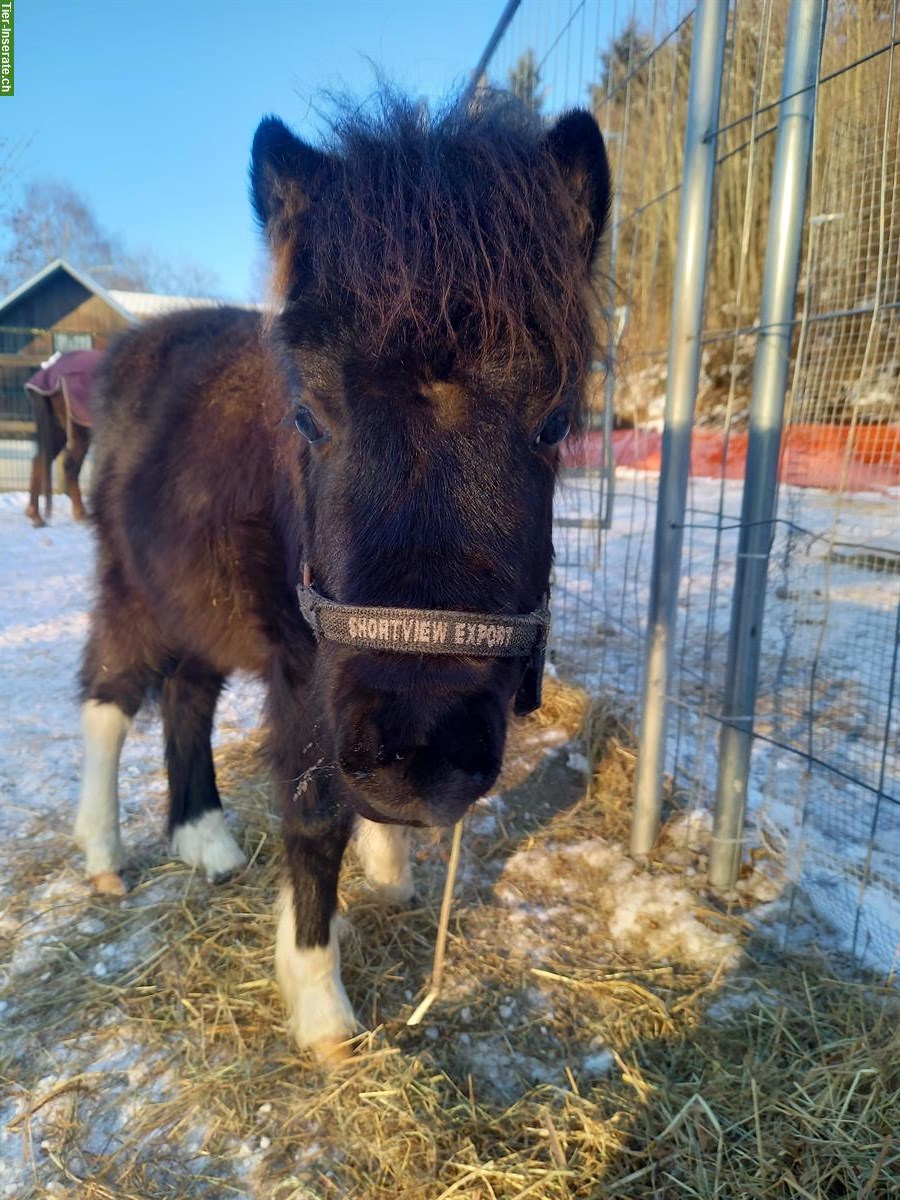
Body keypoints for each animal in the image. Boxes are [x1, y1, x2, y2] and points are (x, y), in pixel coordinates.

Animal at [24, 349, 101, 526]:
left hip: (57, 431)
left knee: (40, 460)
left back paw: (35, 514)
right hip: (78, 431)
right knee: (70, 465)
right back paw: (80, 513)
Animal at [74, 94, 610, 1061]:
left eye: (554, 422)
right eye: (307, 416)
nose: (421, 762)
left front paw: (384, 874)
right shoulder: (303, 669)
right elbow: (315, 810)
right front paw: (319, 997)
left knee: (186, 694)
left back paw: (204, 839)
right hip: (133, 584)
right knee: (111, 694)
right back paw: (103, 854)